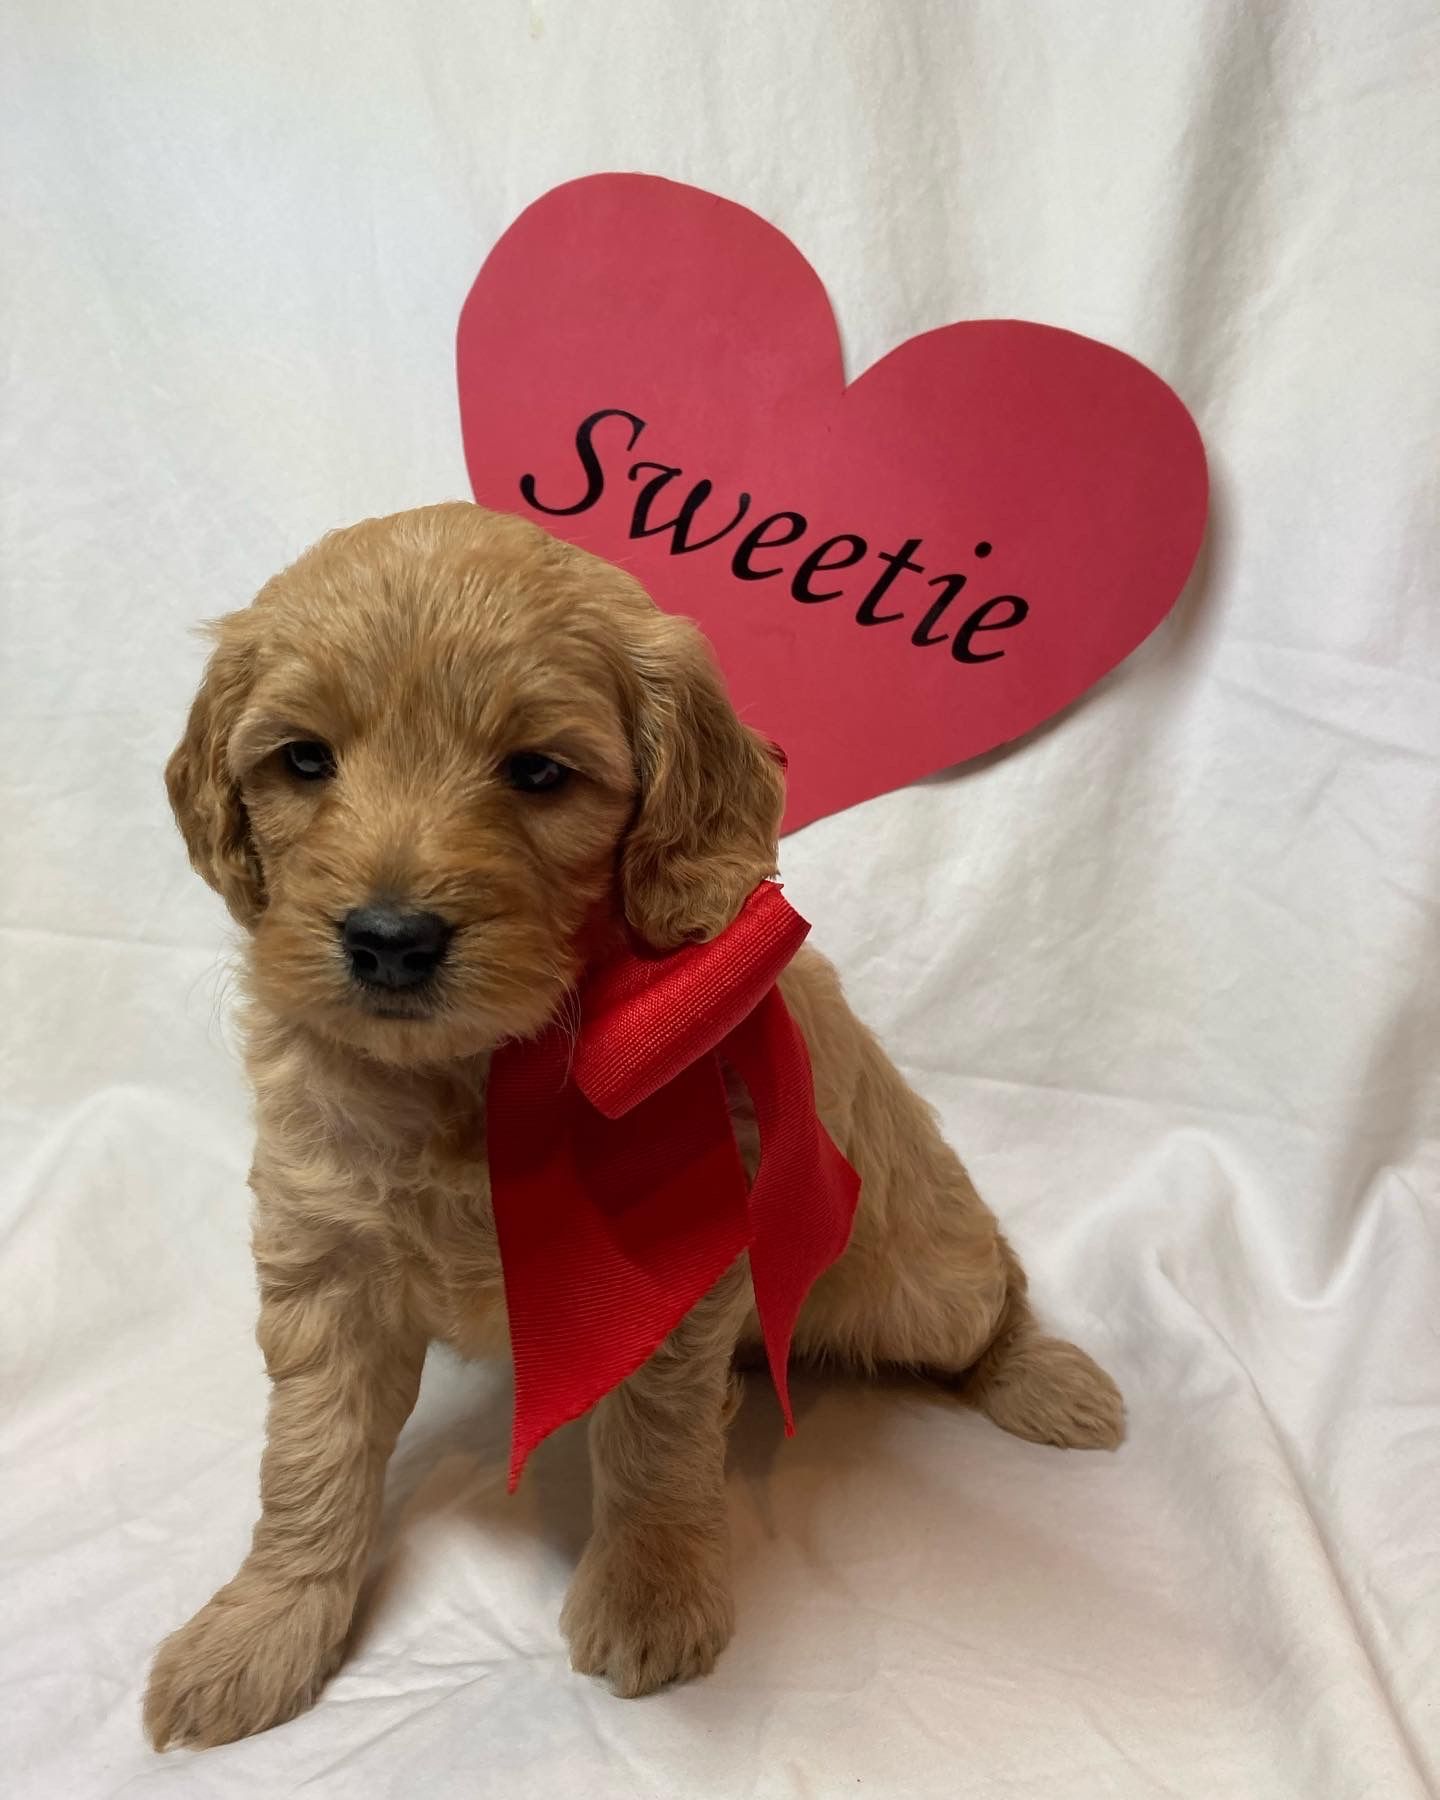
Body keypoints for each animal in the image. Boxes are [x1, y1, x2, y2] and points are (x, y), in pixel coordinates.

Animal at [144, 501, 1124, 1750]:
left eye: (538, 773)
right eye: (303, 759)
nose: (389, 940)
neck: (487, 1074)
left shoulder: (673, 1246)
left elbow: (654, 1438)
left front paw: (652, 1592)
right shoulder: (326, 1257)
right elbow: (309, 1462)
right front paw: (263, 1628)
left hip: (924, 1272)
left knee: (992, 1284)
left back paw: (1043, 1379)